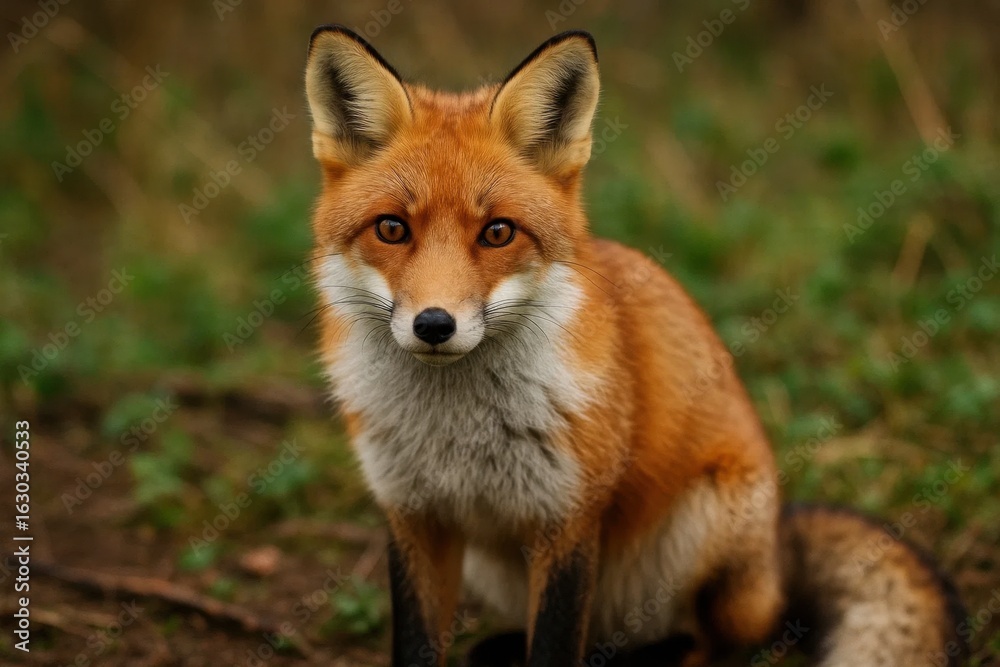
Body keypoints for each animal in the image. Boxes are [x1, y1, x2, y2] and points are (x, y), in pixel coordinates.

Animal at [303, 26, 966, 667]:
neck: (457, 435)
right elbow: (418, 645)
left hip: (707, 522)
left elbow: (554, 648)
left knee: (719, 640)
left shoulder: (569, 519)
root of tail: (778, 552)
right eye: (392, 228)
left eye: (497, 233)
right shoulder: (414, 516)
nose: (435, 324)